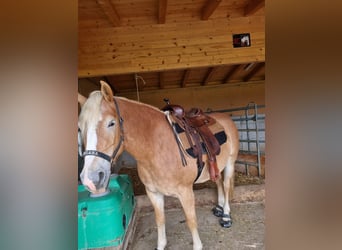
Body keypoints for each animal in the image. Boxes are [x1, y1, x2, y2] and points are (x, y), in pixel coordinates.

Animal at [78, 81, 239, 249]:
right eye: (80, 128)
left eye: (111, 123)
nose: (91, 179)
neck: (157, 148)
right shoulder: (153, 193)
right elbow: (160, 221)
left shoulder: (186, 192)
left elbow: (191, 222)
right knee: (218, 181)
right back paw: (219, 207)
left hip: (230, 162)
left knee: (226, 185)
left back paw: (226, 215)